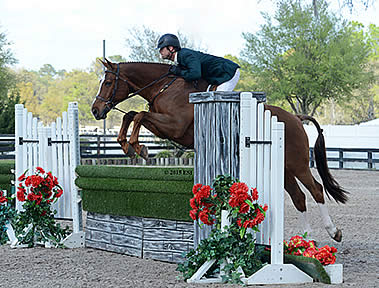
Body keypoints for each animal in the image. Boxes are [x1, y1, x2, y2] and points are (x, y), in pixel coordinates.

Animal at [92, 59, 350, 242]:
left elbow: (140, 115)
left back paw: (333, 232)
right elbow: (132, 114)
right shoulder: (165, 127)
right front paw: (126, 145)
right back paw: (307, 239)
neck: (163, 87)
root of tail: (296, 118)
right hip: (282, 167)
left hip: (297, 163)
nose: (95, 110)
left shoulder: (174, 126)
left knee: (315, 189)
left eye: (107, 83)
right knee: (298, 197)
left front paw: (138, 147)